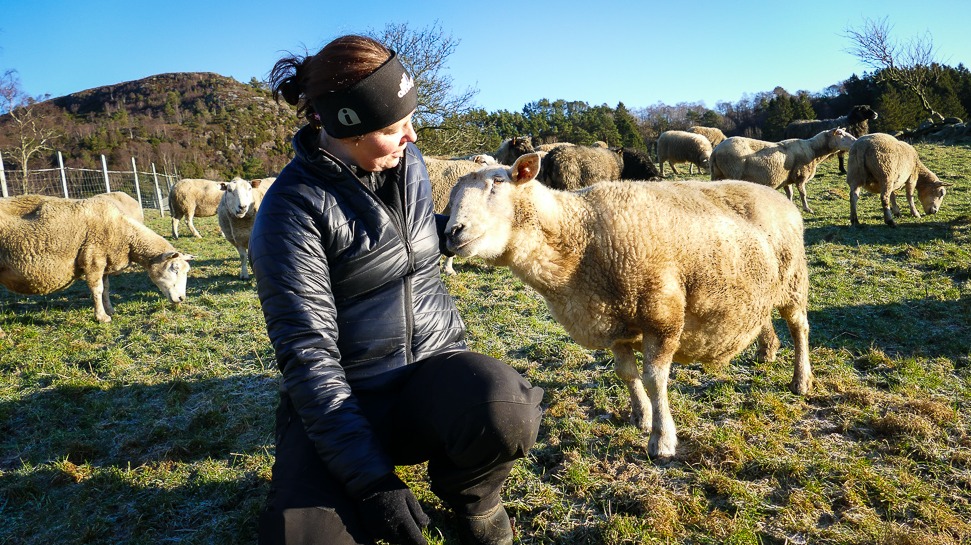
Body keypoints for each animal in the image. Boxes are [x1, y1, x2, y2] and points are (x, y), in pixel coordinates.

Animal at [0, 193, 196, 334]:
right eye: (174, 268)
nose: (181, 299)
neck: (125, 233)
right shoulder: (94, 259)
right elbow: (97, 290)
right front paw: (102, 317)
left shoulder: (105, 264)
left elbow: (107, 289)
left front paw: (110, 310)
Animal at [446, 153, 812, 460]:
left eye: (497, 182)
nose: (452, 232)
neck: (579, 237)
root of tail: (778, 196)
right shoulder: (613, 323)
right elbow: (626, 374)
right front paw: (641, 416)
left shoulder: (662, 316)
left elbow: (653, 379)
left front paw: (662, 439)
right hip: (759, 287)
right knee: (764, 318)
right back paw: (767, 351)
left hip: (793, 281)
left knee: (799, 328)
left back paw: (801, 380)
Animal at [708, 127, 860, 212]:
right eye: (840, 134)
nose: (856, 141)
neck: (814, 151)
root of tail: (715, 151)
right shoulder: (800, 176)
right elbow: (803, 194)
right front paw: (807, 209)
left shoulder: (787, 179)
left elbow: (790, 194)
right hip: (732, 173)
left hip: (717, 174)